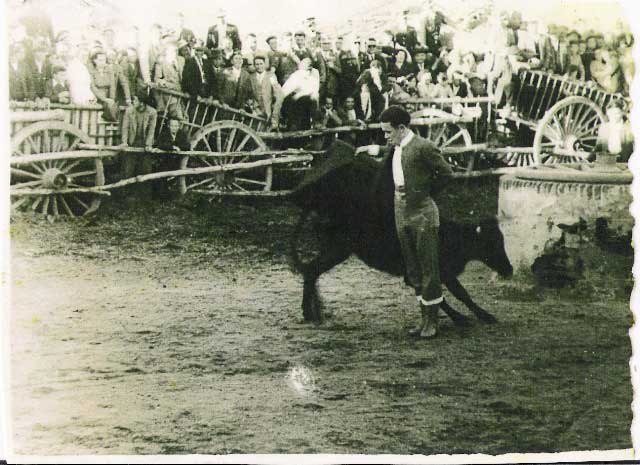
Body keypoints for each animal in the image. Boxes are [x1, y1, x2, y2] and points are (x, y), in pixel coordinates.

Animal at [288, 141, 512, 326]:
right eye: (492, 243)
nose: (509, 269)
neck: (453, 237)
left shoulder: (439, 273)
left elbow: (456, 295)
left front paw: (482, 316)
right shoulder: (434, 272)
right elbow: (449, 296)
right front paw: (465, 318)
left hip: (336, 250)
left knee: (311, 271)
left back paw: (314, 312)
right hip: (338, 249)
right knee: (311, 271)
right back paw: (311, 313)